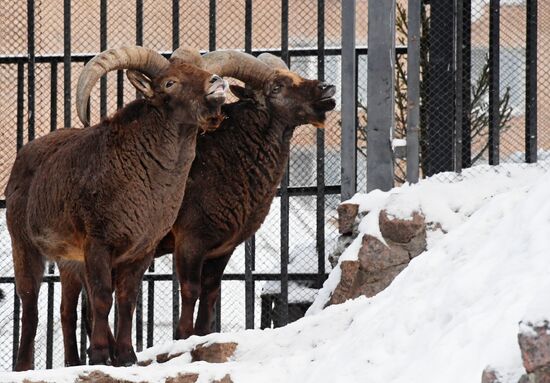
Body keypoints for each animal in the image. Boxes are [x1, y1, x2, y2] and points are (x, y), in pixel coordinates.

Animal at [4, 45, 229, 372]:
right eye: (170, 82)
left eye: (199, 70)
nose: (217, 82)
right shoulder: (99, 243)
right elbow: (101, 299)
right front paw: (100, 355)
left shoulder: (140, 252)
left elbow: (126, 300)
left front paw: (125, 357)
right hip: (25, 245)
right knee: (30, 303)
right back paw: (23, 367)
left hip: (70, 262)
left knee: (66, 309)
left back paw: (73, 362)